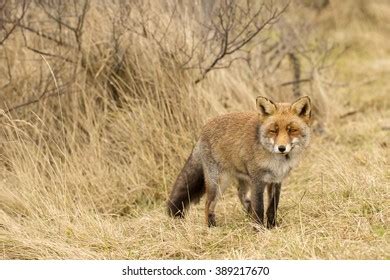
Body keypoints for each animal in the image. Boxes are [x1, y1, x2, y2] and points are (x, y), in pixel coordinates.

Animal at [166, 96, 312, 228]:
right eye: (273, 131)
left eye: (292, 130)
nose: (281, 148)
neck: (277, 162)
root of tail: (203, 128)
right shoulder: (258, 180)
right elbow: (259, 208)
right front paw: (259, 229)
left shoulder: (275, 181)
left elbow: (272, 208)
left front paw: (272, 226)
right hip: (219, 182)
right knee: (208, 204)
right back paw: (211, 227)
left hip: (243, 179)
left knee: (240, 194)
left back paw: (247, 213)